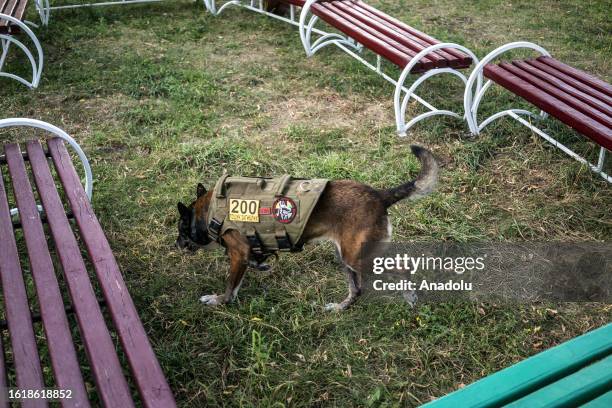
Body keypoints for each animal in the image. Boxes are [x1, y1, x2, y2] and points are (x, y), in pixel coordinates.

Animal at [175, 146, 438, 310]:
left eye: (181, 229)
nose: (176, 245)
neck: (209, 210)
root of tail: (379, 196)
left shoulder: (238, 253)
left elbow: (231, 286)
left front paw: (219, 300)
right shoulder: (247, 252)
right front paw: (260, 264)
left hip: (358, 258)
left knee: (403, 269)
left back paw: (410, 296)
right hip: (345, 256)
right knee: (356, 290)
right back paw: (340, 308)